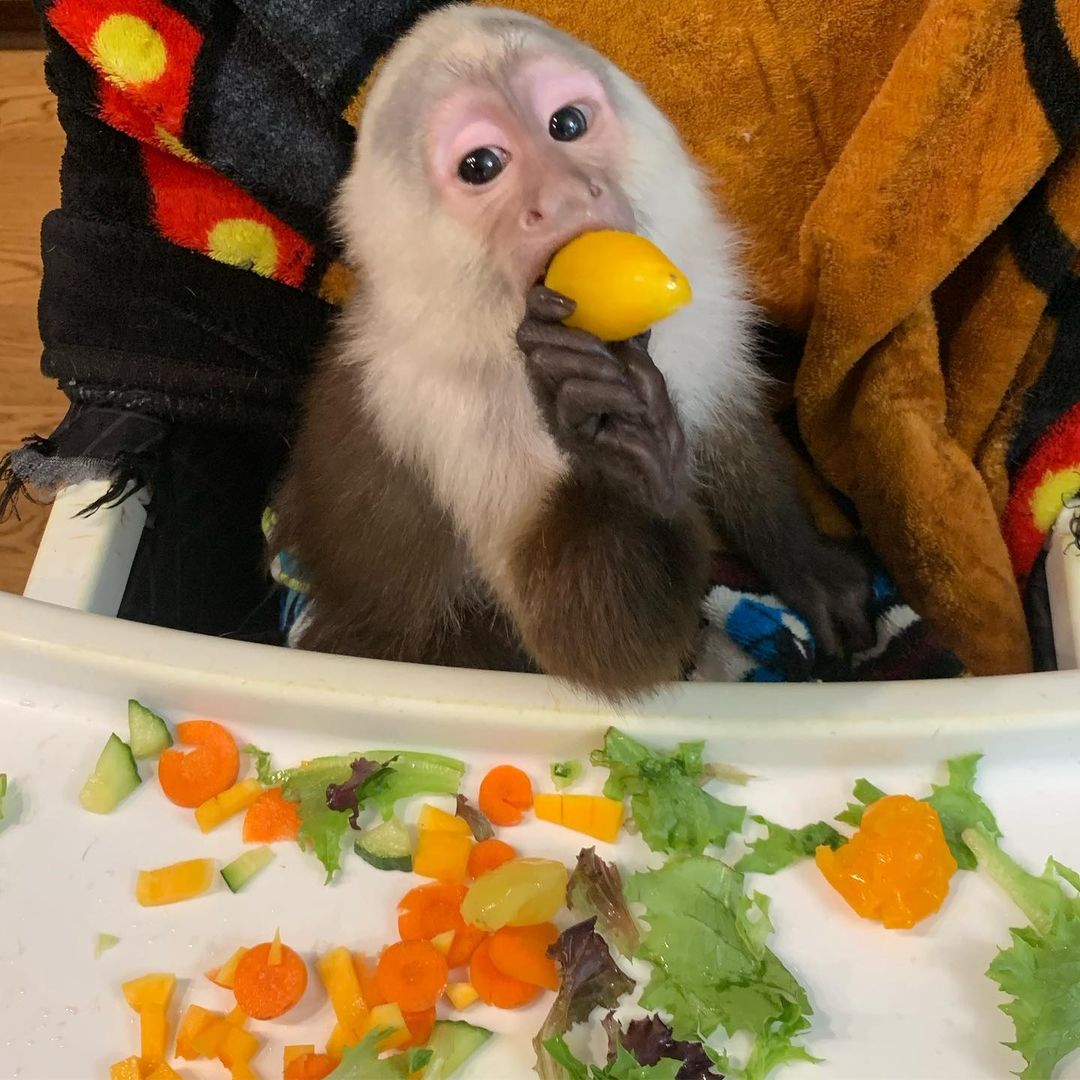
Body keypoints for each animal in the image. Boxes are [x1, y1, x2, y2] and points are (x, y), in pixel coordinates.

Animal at [270, 4, 875, 699]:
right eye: (481, 165)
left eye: (566, 125)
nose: (562, 195)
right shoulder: (454, 413)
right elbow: (595, 649)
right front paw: (613, 442)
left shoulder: (705, 307)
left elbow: (731, 435)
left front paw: (806, 564)